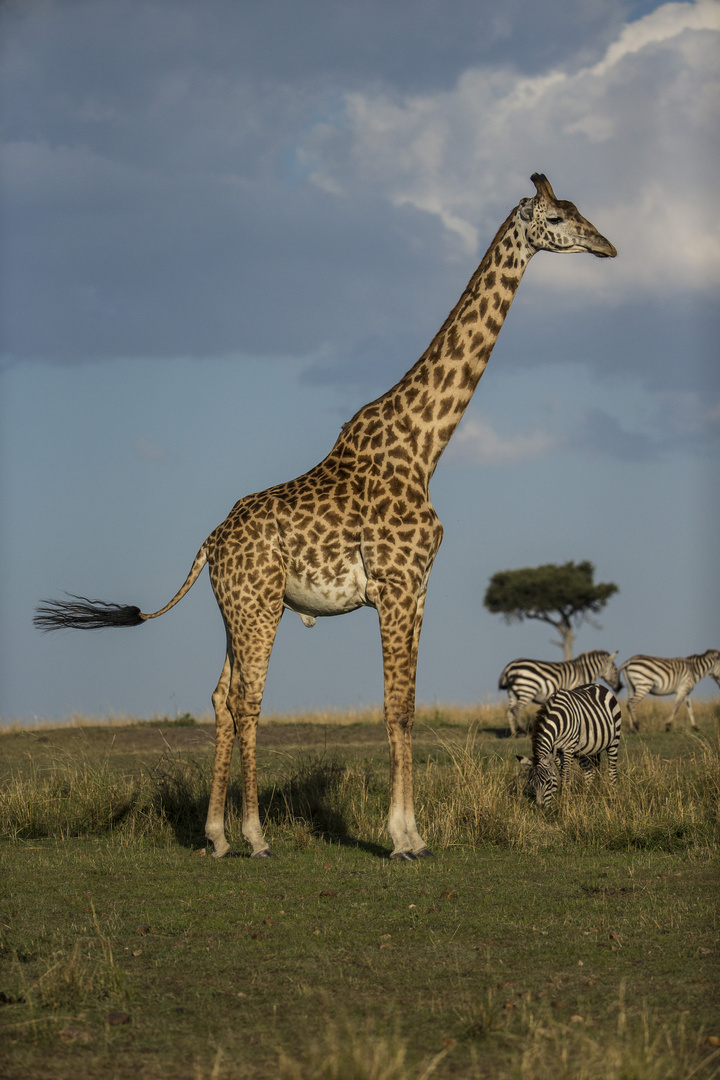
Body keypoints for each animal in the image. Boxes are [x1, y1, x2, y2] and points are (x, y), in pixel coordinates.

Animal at [36, 174, 617, 859]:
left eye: (580, 211)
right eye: (557, 218)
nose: (606, 245)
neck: (425, 446)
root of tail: (208, 543)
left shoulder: (419, 590)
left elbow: (408, 704)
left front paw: (414, 834)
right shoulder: (396, 585)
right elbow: (397, 707)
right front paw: (402, 839)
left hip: (235, 610)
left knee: (221, 697)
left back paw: (216, 836)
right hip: (260, 606)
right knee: (248, 698)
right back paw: (255, 836)